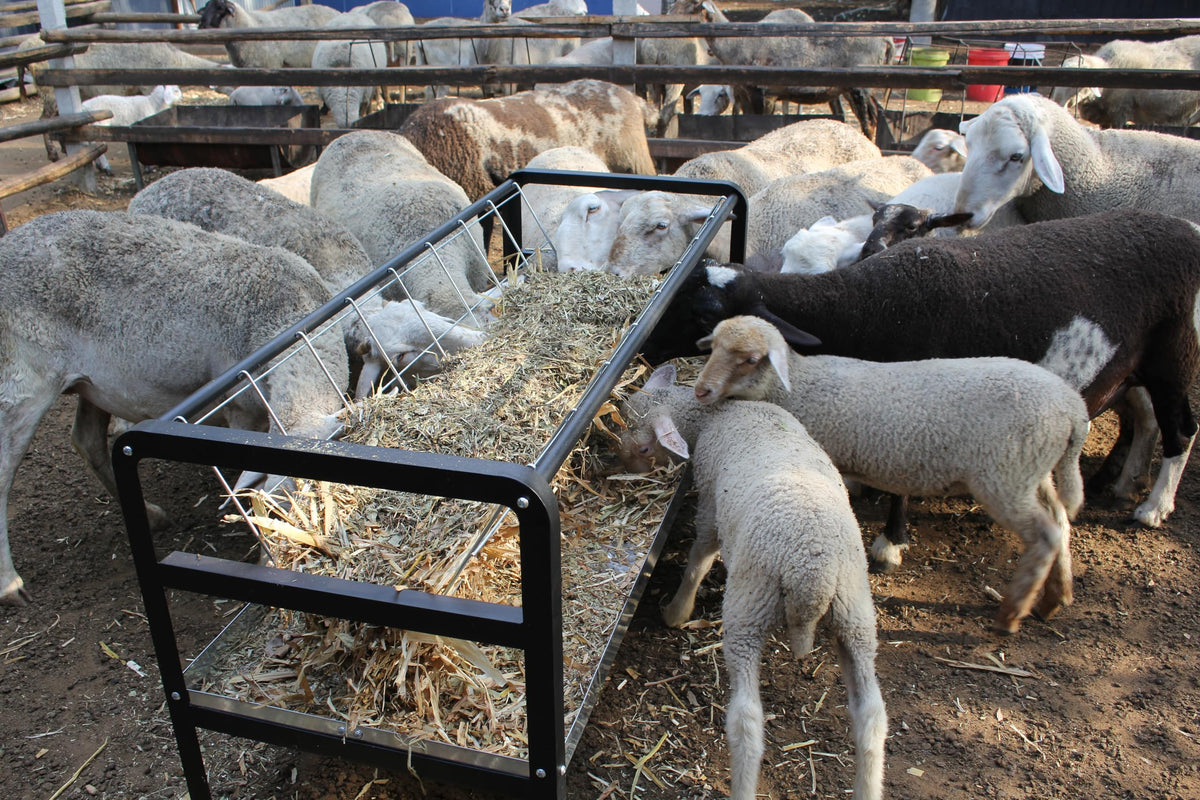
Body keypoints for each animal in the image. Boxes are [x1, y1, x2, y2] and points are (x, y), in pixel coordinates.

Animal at [0, 210, 350, 607]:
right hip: (21, 381)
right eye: (272, 511)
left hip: (92, 384)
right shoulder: (240, 409)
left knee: (85, 441)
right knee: (3, 473)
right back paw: (10, 584)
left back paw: (150, 515)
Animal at [197, 0, 341, 69]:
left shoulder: (271, 64)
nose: (201, 26)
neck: (249, 23)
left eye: (220, 9)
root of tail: (337, 12)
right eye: (206, 7)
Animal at [619, 364, 887, 800]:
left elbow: (700, 556)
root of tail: (813, 578)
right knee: (872, 717)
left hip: (750, 605)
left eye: (643, 448)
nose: (619, 463)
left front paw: (677, 610)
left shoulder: (710, 504)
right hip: (856, 612)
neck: (712, 416)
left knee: (746, 721)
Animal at [639, 210, 1200, 561]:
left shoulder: (914, 400)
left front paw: (891, 540)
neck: (865, 307)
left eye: (703, 314)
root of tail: (1189, 229)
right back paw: (1119, 480)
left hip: (1175, 355)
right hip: (1133, 370)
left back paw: (1153, 507)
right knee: (1146, 420)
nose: (643, 349)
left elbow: (902, 479)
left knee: (1181, 429)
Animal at [695, 315, 1089, 633]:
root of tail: (1074, 408)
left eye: (750, 359)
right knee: (1060, 518)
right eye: (712, 347)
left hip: (1005, 475)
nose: (701, 390)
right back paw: (1056, 597)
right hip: (1032, 469)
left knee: (1046, 534)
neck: (798, 385)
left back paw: (1011, 614)